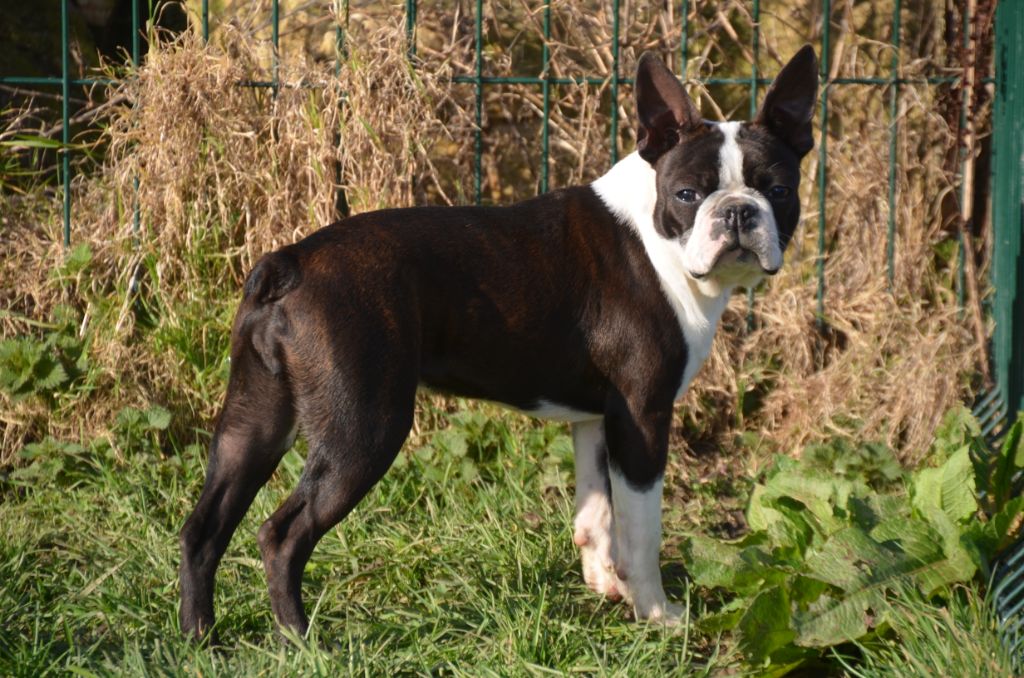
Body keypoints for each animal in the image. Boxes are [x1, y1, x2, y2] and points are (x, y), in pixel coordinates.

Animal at [176, 45, 815, 639]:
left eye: (780, 190)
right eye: (687, 195)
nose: (738, 213)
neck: (658, 242)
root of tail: (292, 260)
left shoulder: (596, 419)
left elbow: (595, 513)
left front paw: (605, 587)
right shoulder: (643, 416)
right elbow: (641, 528)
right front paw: (656, 614)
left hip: (255, 420)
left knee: (204, 526)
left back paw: (200, 635)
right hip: (365, 426)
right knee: (282, 535)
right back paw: (301, 641)